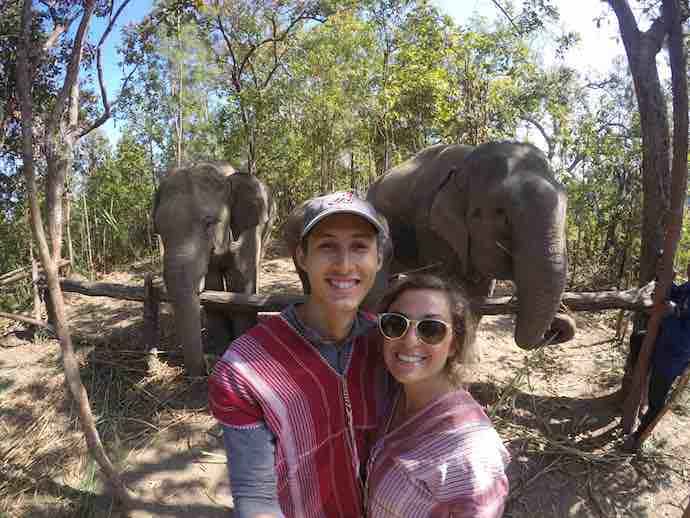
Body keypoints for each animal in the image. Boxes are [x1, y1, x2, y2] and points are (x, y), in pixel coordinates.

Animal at [155, 160, 276, 376]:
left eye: (209, 223)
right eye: (159, 230)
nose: (206, 366)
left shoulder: (248, 227)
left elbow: (240, 279)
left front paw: (240, 342)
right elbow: (213, 284)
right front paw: (220, 348)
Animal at [366, 141, 576, 358]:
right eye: (502, 214)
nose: (555, 327)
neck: (465, 164)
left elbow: (479, 294)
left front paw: (466, 353)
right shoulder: (430, 228)